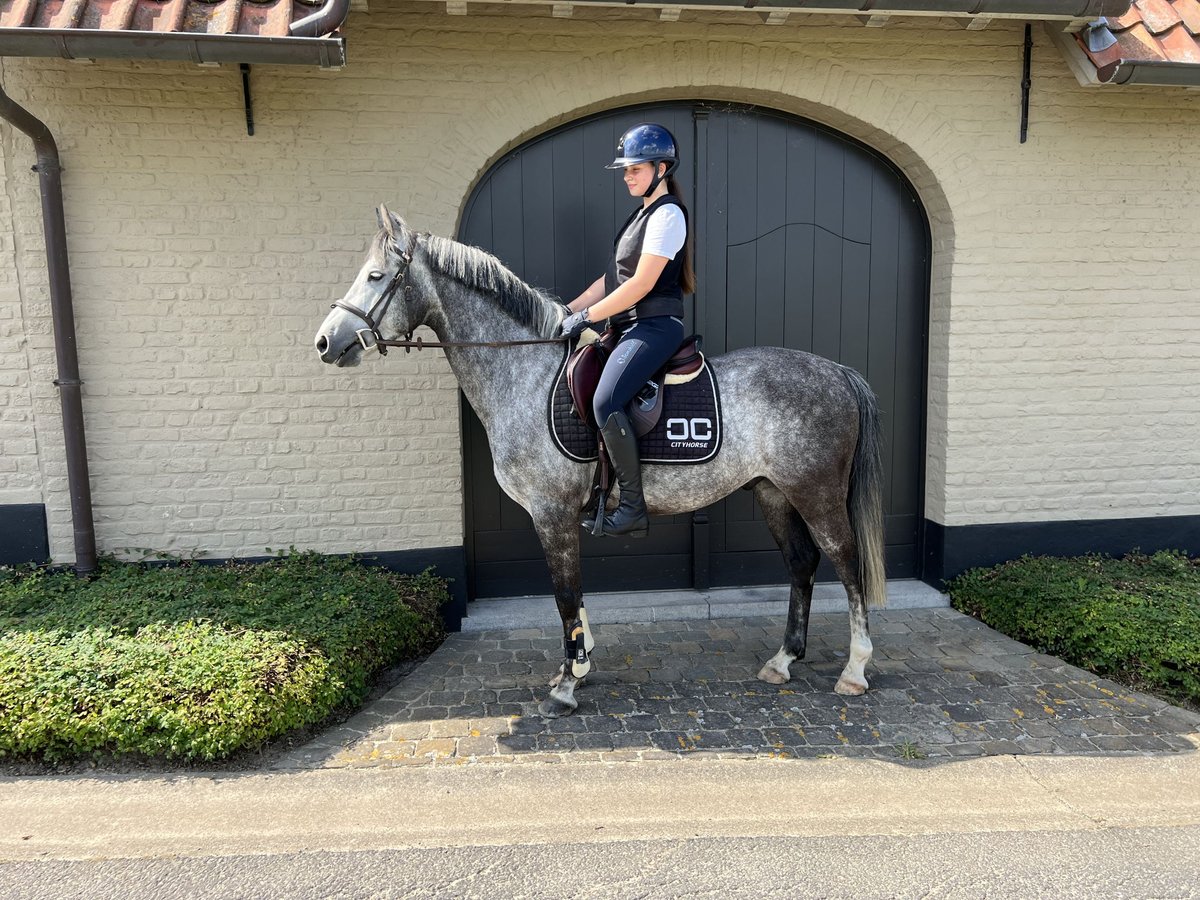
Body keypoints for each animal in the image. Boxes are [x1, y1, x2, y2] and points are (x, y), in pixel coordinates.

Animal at [314, 207, 888, 724]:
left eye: (376, 276)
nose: (325, 342)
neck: (525, 371)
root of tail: (837, 371)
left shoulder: (551, 512)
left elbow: (565, 595)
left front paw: (567, 686)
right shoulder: (561, 515)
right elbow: (575, 593)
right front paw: (578, 665)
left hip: (816, 493)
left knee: (847, 563)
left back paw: (855, 669)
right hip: (774, 492)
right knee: (802, 564)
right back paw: (784, 660)